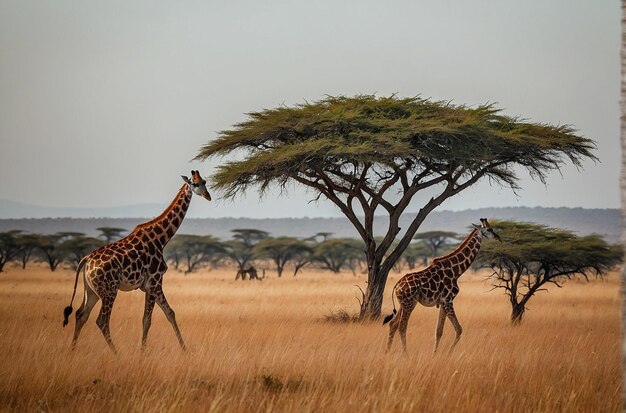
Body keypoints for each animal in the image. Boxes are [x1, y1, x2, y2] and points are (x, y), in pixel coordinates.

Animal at [62, 170, 212, 350]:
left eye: (204, 181)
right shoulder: (154, 282)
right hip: (109, 290)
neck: (161, 239)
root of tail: (87, 260)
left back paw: (72, 350)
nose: (208, 196)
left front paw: (184, 350)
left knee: (80, 315)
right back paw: (116, 353)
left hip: (92, 291)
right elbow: (148, 320)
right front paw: (143, 352)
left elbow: (169, 313)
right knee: (102, 321)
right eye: (195, 184)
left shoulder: (149, 286)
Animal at [382, 217, 500, 352]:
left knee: (393, 324)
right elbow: (458, 329)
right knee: (402, 326)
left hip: (403, 303)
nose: (498, 237)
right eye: (489, 229)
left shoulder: (443, 302)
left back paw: (387, 352)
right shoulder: (448, 300)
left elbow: (439, 330)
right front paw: (449, 352)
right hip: (409, 303)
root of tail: (396, 286)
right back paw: (405, 353)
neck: (456, 271)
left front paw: (435, 353)